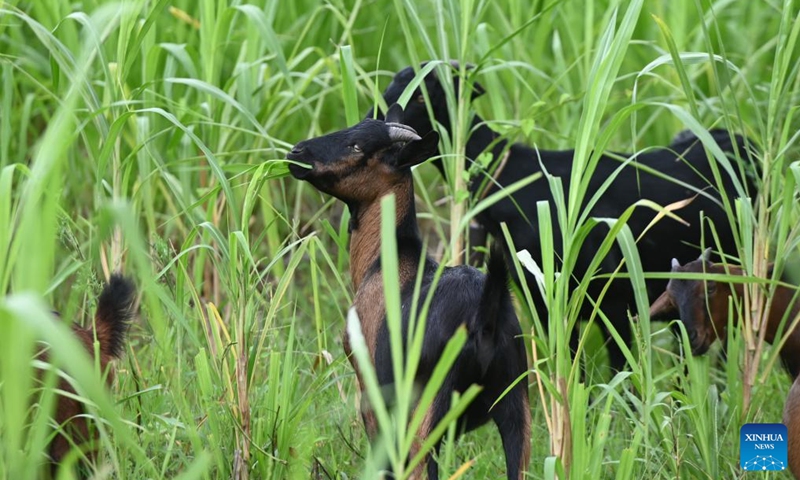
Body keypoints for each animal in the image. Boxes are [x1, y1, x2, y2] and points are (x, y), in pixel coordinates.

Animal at [288, 105, 532, 480]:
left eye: (357, 146)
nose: (297, 152)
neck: (384, 260)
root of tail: (484, 315)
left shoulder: (371, 388)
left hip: (425, 410)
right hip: (517, 405)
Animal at [368, 62, 756, 372]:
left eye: (423, 98)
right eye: (387, 92)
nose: (377, 134)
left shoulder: (611, 297)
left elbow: (619, 370)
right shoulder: (543, 301)